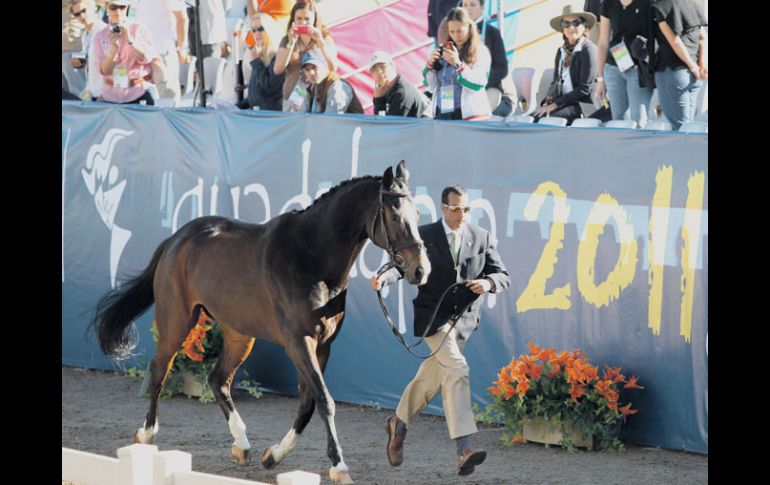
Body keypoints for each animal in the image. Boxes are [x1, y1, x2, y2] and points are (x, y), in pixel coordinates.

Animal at [91, 161, 428, 482]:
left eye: (416, 213)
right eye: (394, 215)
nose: (420, 270)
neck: (311, 256)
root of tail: (177, 238)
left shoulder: (323, 345)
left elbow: (307, 403)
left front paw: (273, 455)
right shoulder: (299, 342)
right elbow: (324, 400)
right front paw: (339, 467)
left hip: (239, 334)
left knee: (218, 379)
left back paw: (242, 447)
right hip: (177, 320)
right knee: (160, 368)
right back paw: (146, 435)